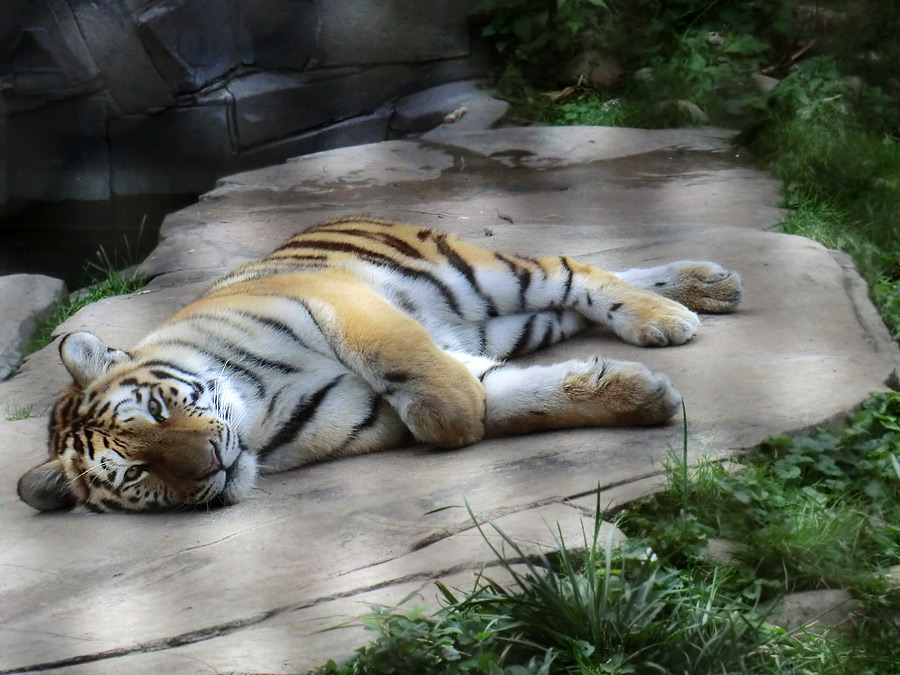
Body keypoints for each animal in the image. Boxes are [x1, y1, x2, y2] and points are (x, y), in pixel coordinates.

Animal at [17, 219, 740, 516]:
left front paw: (456, 408)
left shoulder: (336, 299)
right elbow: (507, 396)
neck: (260, 410)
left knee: (573, 268)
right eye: (137, 472)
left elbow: (416, 369)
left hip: (482, 277)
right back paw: (706, 288)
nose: (211, 465)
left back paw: (676, 310)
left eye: (160, 409)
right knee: (579, 300)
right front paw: (644, 395)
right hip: (514, 318)